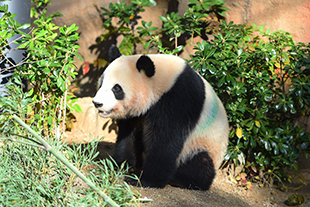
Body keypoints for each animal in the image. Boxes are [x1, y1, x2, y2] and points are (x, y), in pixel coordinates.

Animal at [91, 46, 229, 190]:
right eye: (101, 83)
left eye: (116, 89)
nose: (97, 103)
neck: (162, 80)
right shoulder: (136, 113)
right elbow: (128, 135)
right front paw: (122, 165)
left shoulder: (178, 100)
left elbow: (165, 141)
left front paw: (143, 180)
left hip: (202, 145)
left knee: (199, 163)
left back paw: (180, 179)